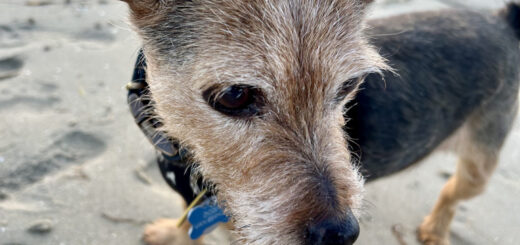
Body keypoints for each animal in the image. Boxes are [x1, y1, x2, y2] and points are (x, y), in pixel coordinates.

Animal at [121, 0, 516, 244]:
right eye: (234, 95)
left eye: (349, 85)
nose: (340, 235)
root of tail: (503, 20)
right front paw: (172, 234)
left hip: (480, 164)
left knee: (452, 191)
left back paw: (435, 228)